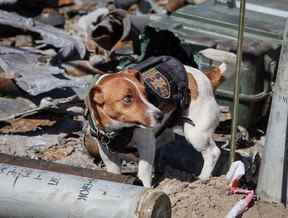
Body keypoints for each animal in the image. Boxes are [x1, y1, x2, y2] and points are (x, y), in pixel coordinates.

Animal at [84, 56, 228, 187]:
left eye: (145, 94)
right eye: (127, 98)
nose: (160, 115)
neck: (118, 129)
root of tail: (207, 78)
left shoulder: (146, 145)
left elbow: (144, 172)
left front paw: (145, 188)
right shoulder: (107, 153)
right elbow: (113, 172)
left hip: (196, 134)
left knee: (213, 152)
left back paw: (203, 178)